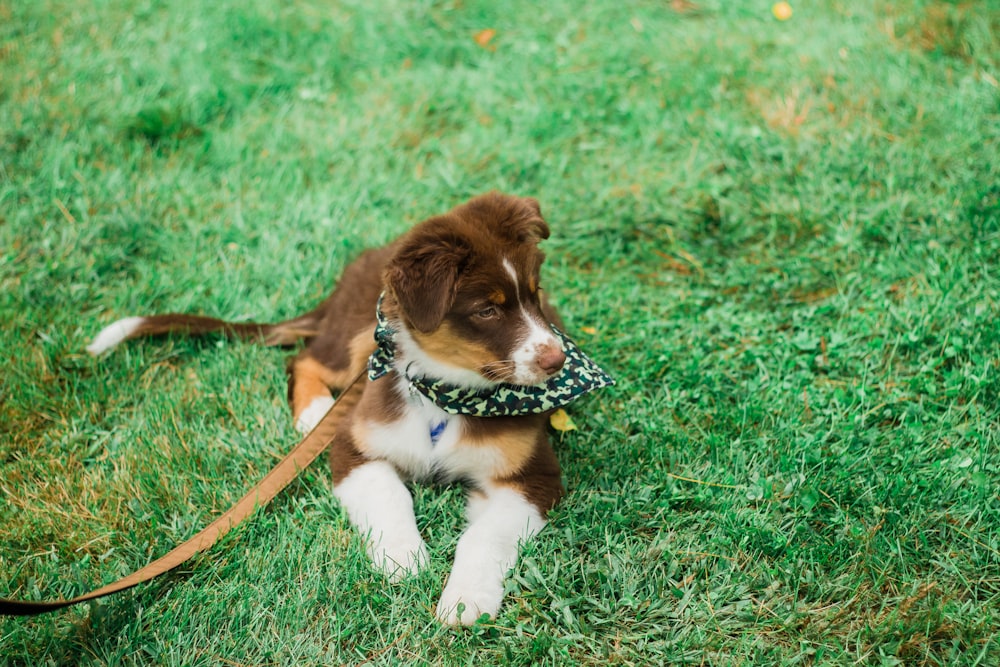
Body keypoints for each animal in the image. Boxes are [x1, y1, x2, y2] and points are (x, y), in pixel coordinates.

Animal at [90, 192, 612, 628]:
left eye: (535, 293)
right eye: (487, 310)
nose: (557, 361)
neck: (446, 395)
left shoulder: (530, 475)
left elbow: (485, 536)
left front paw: (466, 600)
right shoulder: (357, 443)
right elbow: (388, 495)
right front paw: (404, 560)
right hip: (359, 335)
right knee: (304, 359)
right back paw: (315, 412)